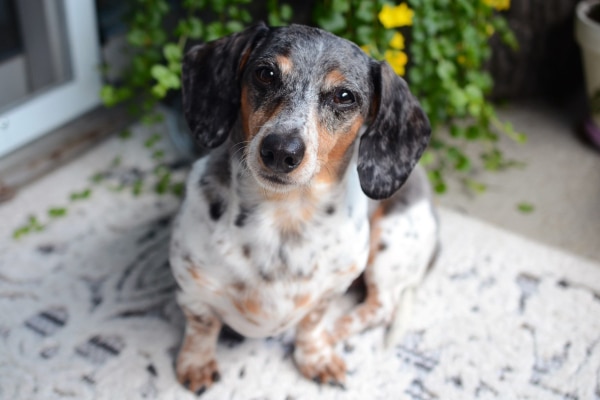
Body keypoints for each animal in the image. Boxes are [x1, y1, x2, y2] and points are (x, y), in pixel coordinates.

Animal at [171, 22, 438, 394]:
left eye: (344, 96)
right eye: (266, 73)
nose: (281, 150)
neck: (283, 217)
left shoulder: (331, 289)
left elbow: (311, 323)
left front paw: (316, 355)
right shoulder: (191, 287)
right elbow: (202, 326)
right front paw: (196, 363)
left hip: (390, 245)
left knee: (381, 305)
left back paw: (336, 331)